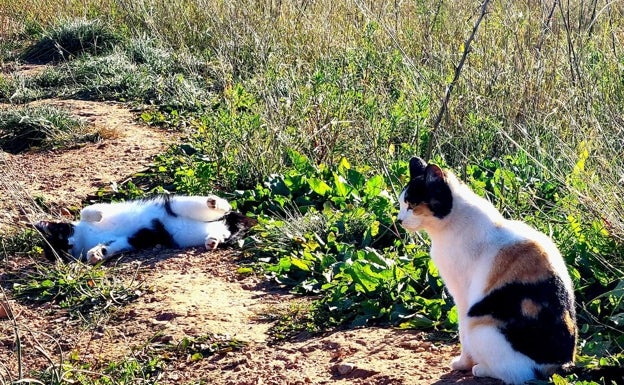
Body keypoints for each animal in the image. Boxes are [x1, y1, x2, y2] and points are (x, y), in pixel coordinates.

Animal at [34, 194, 258, 262]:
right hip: (188, 234)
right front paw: (96, 254)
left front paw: (96, 215)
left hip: (178, 205)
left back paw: (215, 203)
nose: (69, 244)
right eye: (61, 251)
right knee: (223, 230)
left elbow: (88, 210)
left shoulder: (109, 208)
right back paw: (213, 240)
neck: (85, 236)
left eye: (61, 236)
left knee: (222, 207)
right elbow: (109, 246)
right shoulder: (128, 240)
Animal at [398, 157, 576, 384]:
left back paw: (481, 369)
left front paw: (463, 364)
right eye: (401, 204)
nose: (399, 219)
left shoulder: (462, 296)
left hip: (480, 326)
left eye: (412, 205)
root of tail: (561, 364)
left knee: (517, 373)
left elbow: (462, 334)